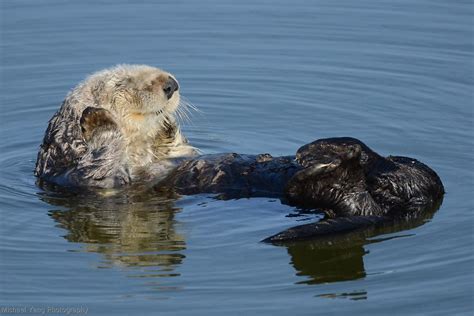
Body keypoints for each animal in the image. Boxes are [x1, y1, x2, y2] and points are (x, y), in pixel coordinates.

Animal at [34, 64, 444, 242]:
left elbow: (180, 146)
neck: (143, 151)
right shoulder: (86, 178)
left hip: (406, 170)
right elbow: (104, 164)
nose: (171, 85)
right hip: (338, 196)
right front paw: (97, 118)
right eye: (122, 83)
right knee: (356, 204)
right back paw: (323, 162)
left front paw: (169, 126)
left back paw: (332, 149)